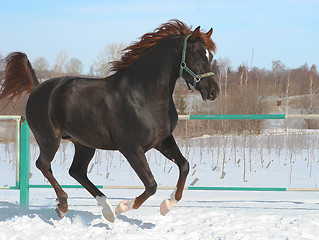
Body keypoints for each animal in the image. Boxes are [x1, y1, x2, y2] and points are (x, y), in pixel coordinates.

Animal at [0, 19, 219, 222]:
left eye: (211, 56)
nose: (213, 92)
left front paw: (167, 205)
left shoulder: (162, 141)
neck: (142, 95)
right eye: (197, 55)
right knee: (43, 165)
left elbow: (185, 166)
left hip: (85, 144)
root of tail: (37, 88)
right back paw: (64, 205)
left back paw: (106, 210)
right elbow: (151, 185)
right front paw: (124, 206)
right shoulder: (131, 148)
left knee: (76, 171)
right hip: (49, 139)